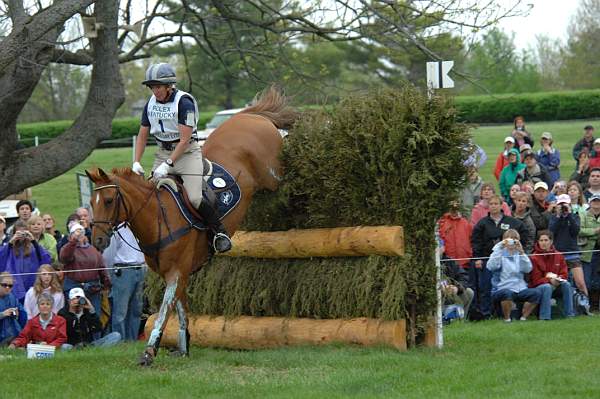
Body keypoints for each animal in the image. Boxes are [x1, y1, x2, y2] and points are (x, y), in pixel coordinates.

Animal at [85, 87, 296, 366]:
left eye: (109, 201)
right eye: (91, 202)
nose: (97, 241)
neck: (157, 218)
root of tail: (250, 116)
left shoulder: (176, 273)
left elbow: (164, 312)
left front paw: (149, 352)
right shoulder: (177, 274)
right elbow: (181, 311)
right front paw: (183, 347)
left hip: (274, 175)